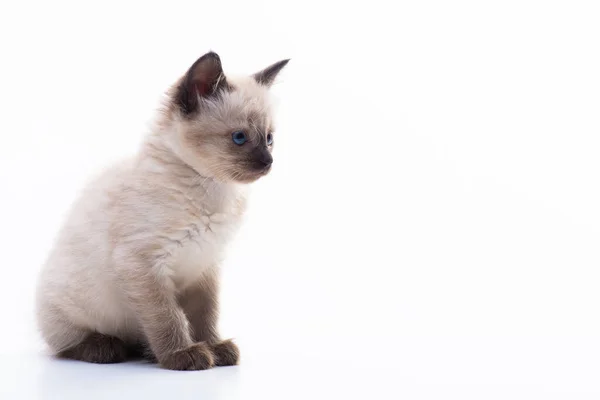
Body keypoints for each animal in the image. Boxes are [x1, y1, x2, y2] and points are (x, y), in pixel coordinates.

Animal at [34, 51, 288, 370]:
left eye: (269, 139)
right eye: (239, 138)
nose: (268, 162)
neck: (215, 189)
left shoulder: (205, 265)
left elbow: (205, 315)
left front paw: (215, 348)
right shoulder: (143, 265)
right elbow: (167, 318)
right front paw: (183, 355)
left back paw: (146, 351)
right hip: (71, 310)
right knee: (67, 345)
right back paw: (107, 348)